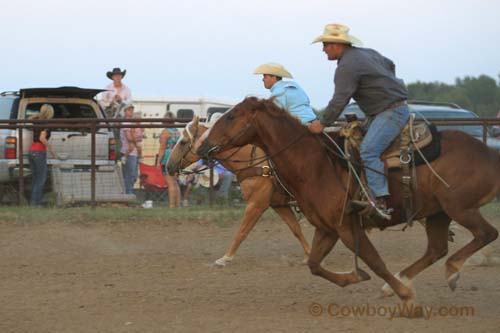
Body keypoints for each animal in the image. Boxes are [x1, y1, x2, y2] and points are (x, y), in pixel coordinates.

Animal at [166, 116, 310, 264]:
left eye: (183, 142)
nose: (168, 166)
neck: (255, 162)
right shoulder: (278, 204)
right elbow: (295, 228)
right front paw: (309, 256)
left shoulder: (256, 204)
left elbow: (242, 232)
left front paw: (225, 258)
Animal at [197, 96, 498, 304]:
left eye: (232, 116)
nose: (202, 146)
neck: (316, 164)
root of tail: (489, 153)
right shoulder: (327, 228)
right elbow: (314, 264)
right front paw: (355, 277)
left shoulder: (347, 227)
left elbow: (375, 262)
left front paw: (406, 296)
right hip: (437, 212)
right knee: (437, 249)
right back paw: (406, 281)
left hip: (459, 208)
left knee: (486, 233)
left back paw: (449, 272)